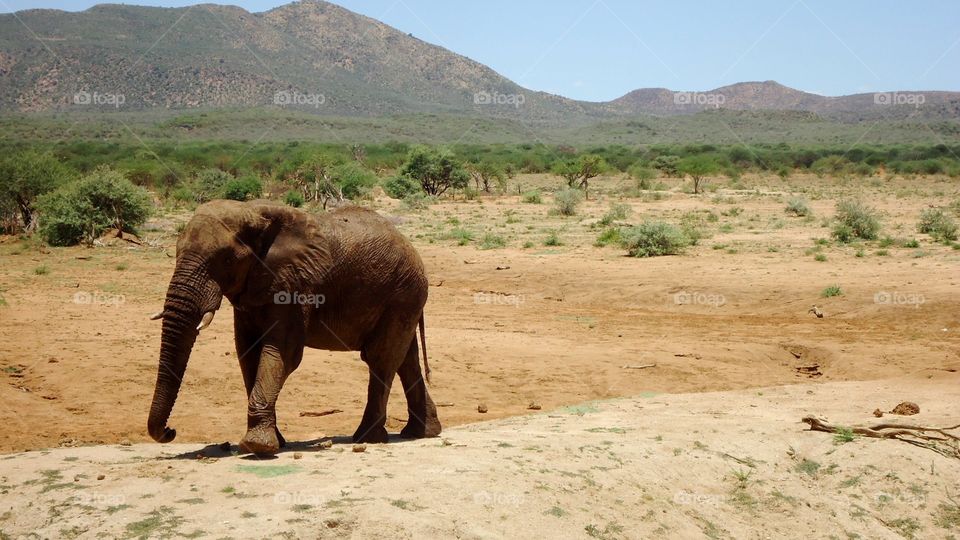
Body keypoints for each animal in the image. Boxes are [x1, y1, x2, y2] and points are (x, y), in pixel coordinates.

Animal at [147, 200, 441, 455]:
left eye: (226, 260)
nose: (171, 431)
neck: (252, 213)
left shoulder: (294, 284)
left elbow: (283, 352)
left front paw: (257, 447)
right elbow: (248, 352)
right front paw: (275, 442)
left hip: (402, 294)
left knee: (381, 358)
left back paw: (367, 438)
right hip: (403, 299)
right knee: (405, 360)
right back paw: (420, 433)